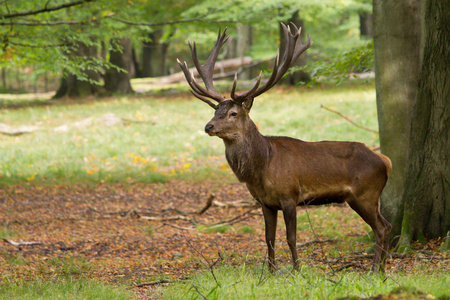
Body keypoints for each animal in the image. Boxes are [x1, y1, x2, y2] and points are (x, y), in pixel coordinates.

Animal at [178, 22, 392, 274]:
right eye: (215, 111)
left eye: (233, 113)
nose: (208, 126)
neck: (262, 167)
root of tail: (385, 161)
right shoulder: (265, 203)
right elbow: (269, 238)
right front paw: (271, 272)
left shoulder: (290, 196)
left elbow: (291, 238)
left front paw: (297, 270)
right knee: (386, 225)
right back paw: (383, 268)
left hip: (365, 193)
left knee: (381, 228)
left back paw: (376, 269)